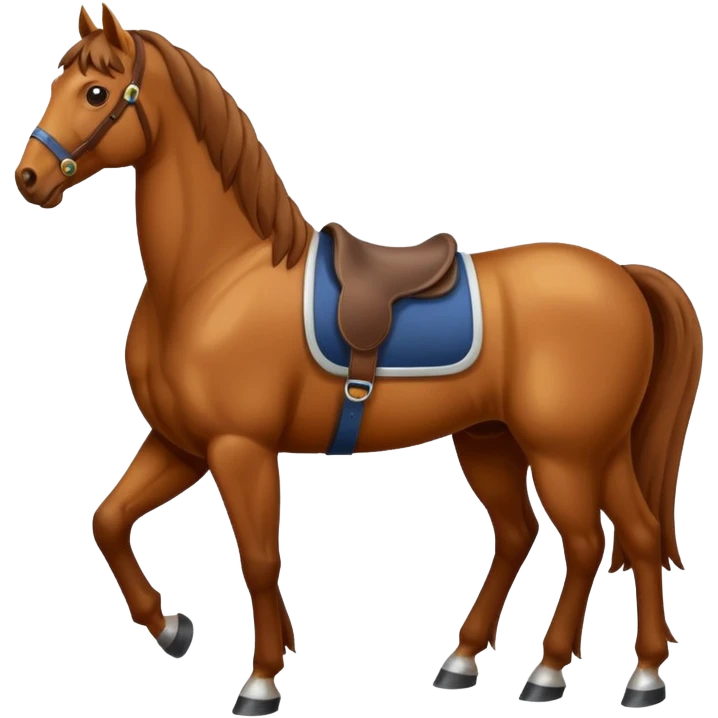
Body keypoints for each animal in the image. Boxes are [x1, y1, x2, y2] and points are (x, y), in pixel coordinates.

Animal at [15, 4, 701, 715]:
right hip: (531, 444)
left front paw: (261, 680)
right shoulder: (179, 444)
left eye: (97, 93)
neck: (216, 277)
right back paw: (591, 671)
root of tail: (622, 277)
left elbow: (259, 559)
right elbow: (109, 521)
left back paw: (551, 672)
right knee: (600, 534)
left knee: (588, 543)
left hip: (565, 454)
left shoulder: (240, 448)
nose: (29, 178)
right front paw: (172, 628)